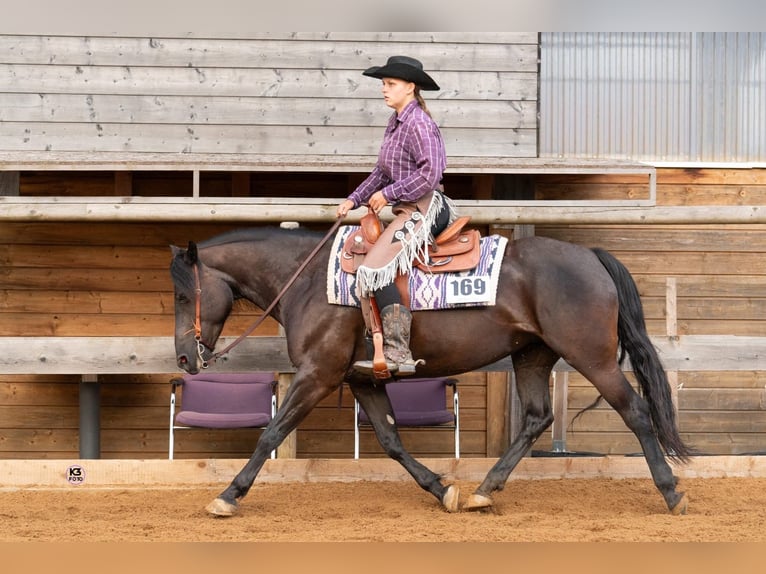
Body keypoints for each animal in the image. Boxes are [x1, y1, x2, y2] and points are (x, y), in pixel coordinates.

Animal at [170, 227, 696, 520]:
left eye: (182, 294)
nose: (184, 359)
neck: (309, 280)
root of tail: (589, 255)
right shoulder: (362, 379)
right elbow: (391, 441)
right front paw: (443, 489)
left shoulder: (317, 375)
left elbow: (271, 434)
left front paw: (228, 495)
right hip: (533, 356)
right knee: (536, 418)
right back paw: (483, 492)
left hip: (593, 358)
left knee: (636, 411)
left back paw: (671, 493)